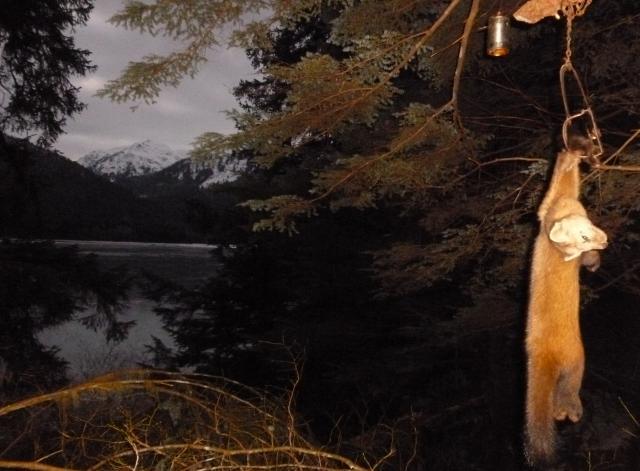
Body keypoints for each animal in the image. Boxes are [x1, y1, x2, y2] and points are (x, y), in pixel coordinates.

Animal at [525, 142, 608, 466]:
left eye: (591, 228)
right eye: (583, 236)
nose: (604, 239)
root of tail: (545, 354)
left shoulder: (544, 208)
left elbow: (551, 189)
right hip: (576, 358)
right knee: (570, 386)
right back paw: (569, 411)